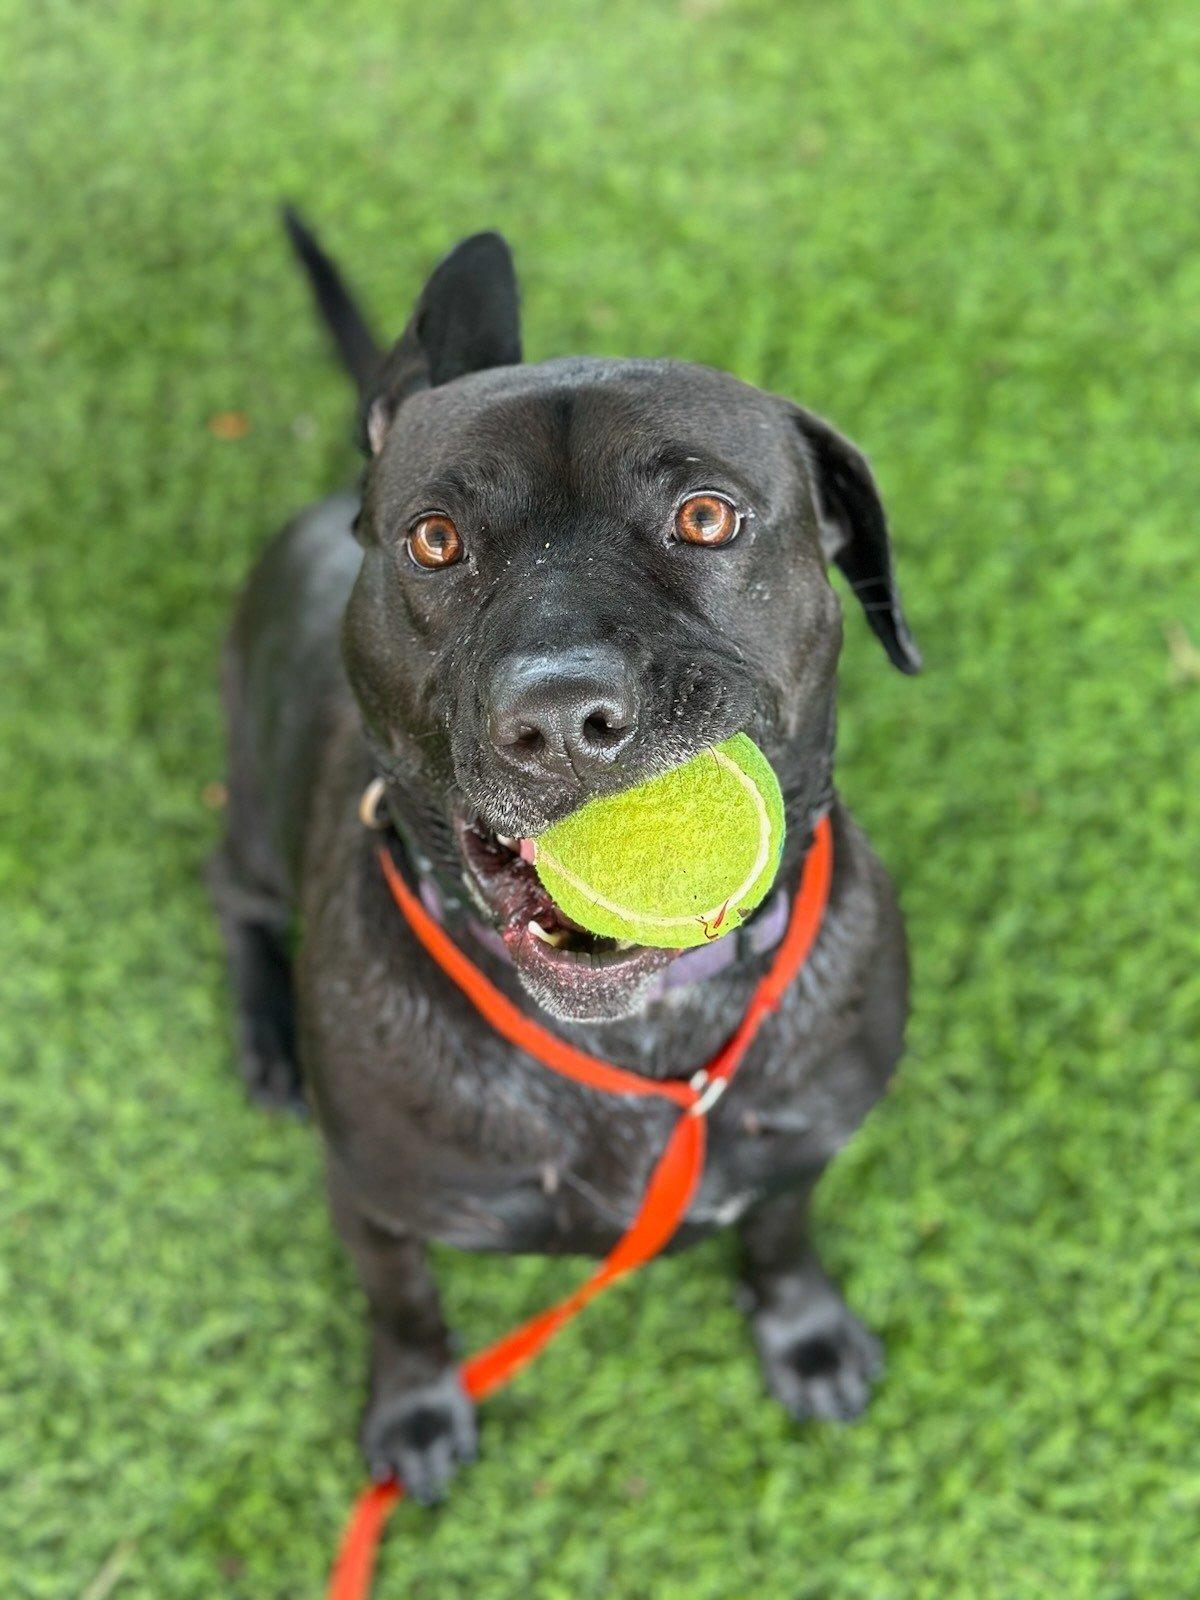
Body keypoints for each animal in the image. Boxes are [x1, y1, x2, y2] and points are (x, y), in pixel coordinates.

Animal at [211, 212, 921, 1497]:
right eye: (435, 539)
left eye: (706, 516)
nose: (558, 718)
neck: (640, 1038)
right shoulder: (374, 1204)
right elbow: (404, 1306)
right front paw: (415, 1408)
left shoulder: (801, 1143)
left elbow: (780, 1229)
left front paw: (803, 1331)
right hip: (248, 799)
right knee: (230, 891)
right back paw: (264, 1034)